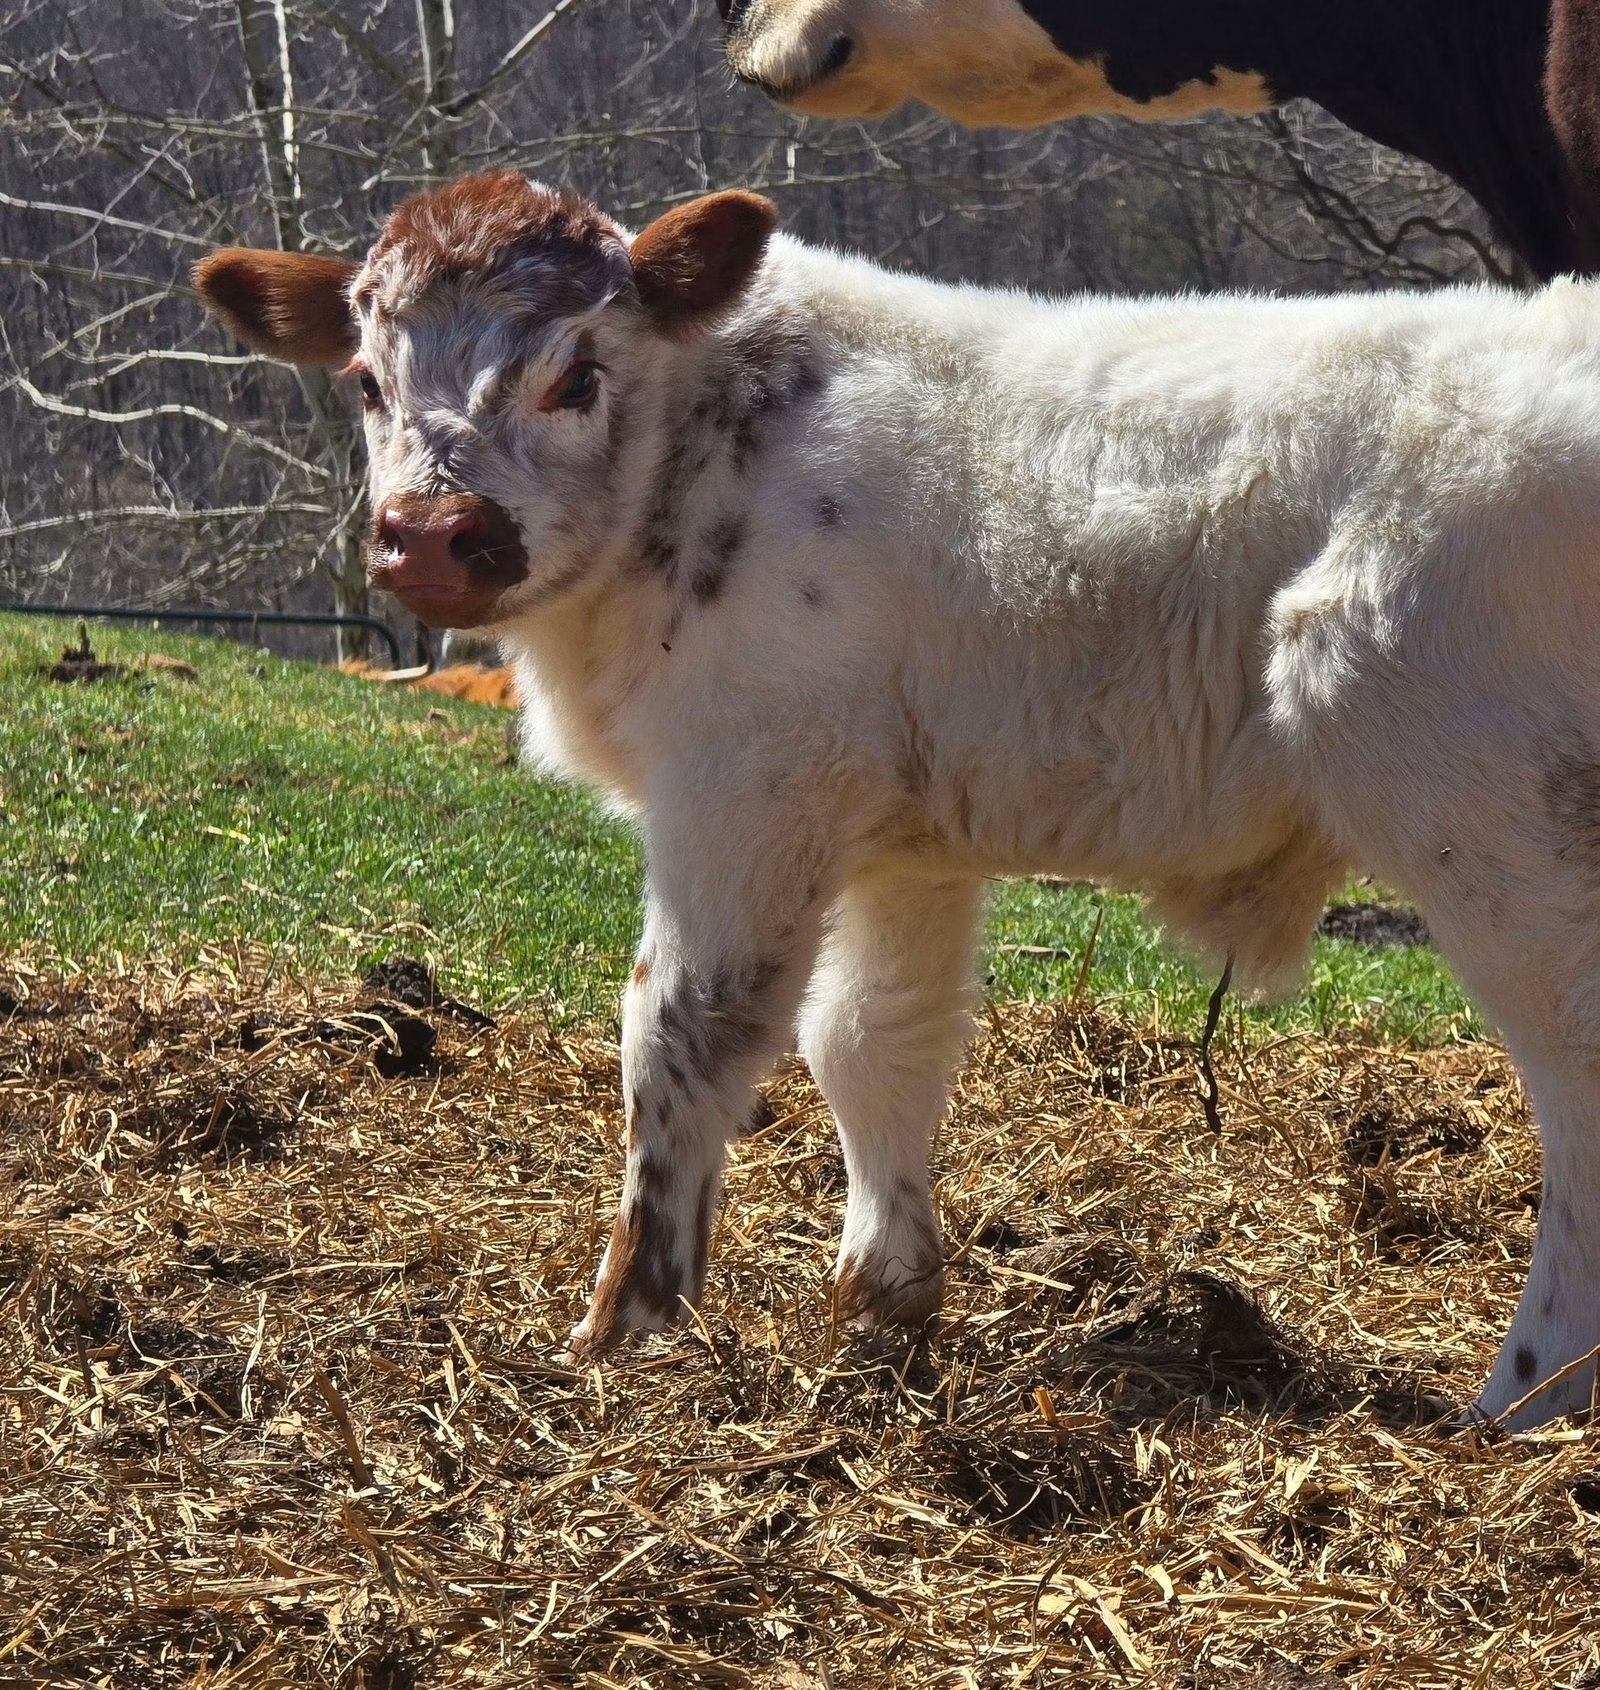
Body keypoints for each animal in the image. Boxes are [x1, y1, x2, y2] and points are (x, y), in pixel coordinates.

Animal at [196, 170, 1600, 1427]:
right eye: (366, 379)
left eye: (576, 372)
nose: (432, 535)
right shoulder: (902, 841)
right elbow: (871, 1040)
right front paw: (881, 1296)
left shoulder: (746, 786)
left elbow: (680, 1030)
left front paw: (628, 1326)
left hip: (1487, 814)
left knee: (1576, 1086)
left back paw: (1523, 1401)